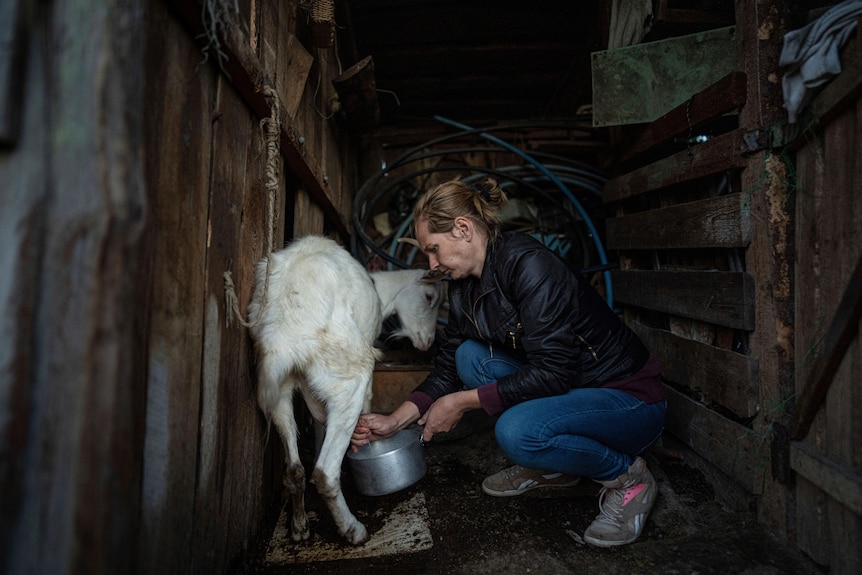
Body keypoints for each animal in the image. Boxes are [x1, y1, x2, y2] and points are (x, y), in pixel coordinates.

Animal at [245, 236, 442, 548]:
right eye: (429, 297)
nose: (428, 341)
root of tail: (280, 336)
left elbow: (318, 426)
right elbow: (367, 409)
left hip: (279, 391)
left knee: (295, 469)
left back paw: (300, 527)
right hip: (348, 377)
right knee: (324, 472)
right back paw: (353, 530)